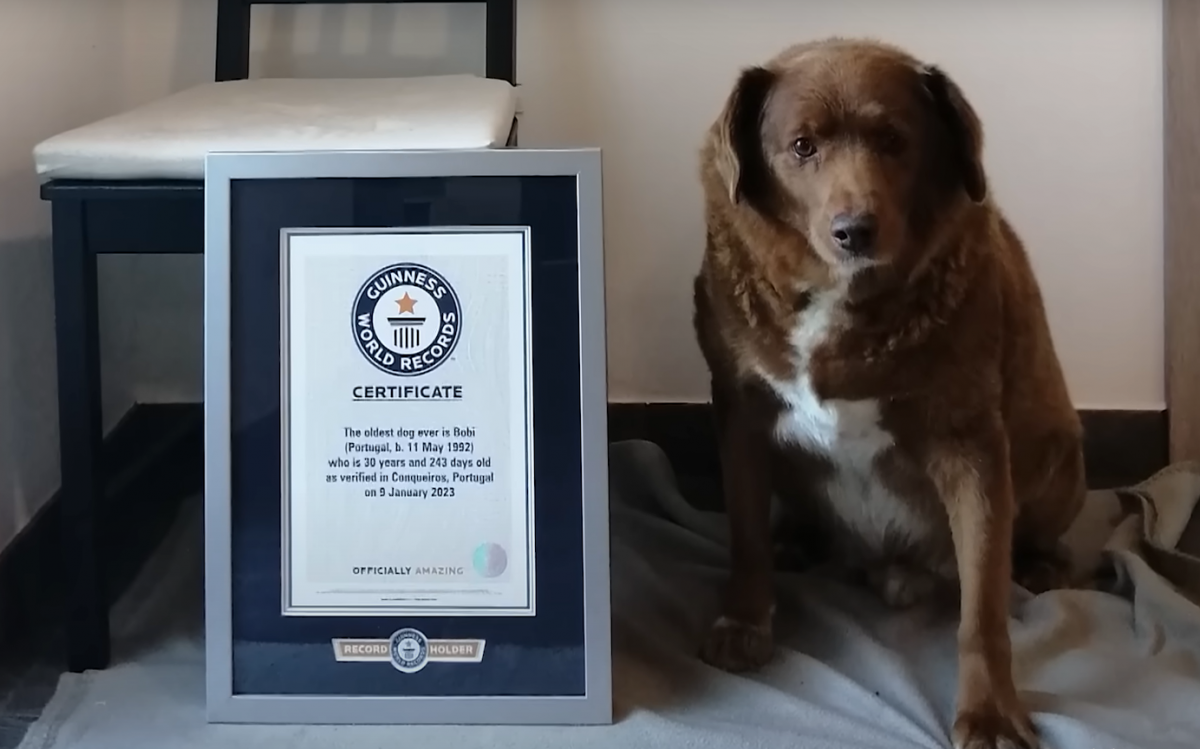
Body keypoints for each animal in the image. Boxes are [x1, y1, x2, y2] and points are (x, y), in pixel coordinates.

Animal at [691, 37, 1086, 749]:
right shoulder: (738, 412)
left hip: (1058, 452)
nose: (856, 229)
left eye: (895, 140)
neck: (840, 300)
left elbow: (982, 608)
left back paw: (1041, 566)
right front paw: (744, 622)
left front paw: (990, 712)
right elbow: (745, 537)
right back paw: (797, 539)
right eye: (802, 146)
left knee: (1028, 542)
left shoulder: (971, 446)